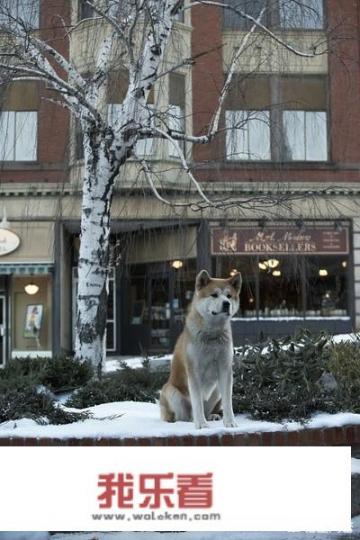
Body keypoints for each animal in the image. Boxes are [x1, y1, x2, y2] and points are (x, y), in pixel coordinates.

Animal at [159, 270, 240, 430]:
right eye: (214, 295)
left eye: (229, 296)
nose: (226, 304)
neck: (212, 336)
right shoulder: (194, 371)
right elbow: (197, 402)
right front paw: (201, 424)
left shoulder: (225, 368)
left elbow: (228, 402)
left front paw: (230, 422)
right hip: (172, 392)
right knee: (183, 416)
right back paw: (189, 421)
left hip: (216, 391)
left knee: (208, 409)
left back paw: (212, 416)